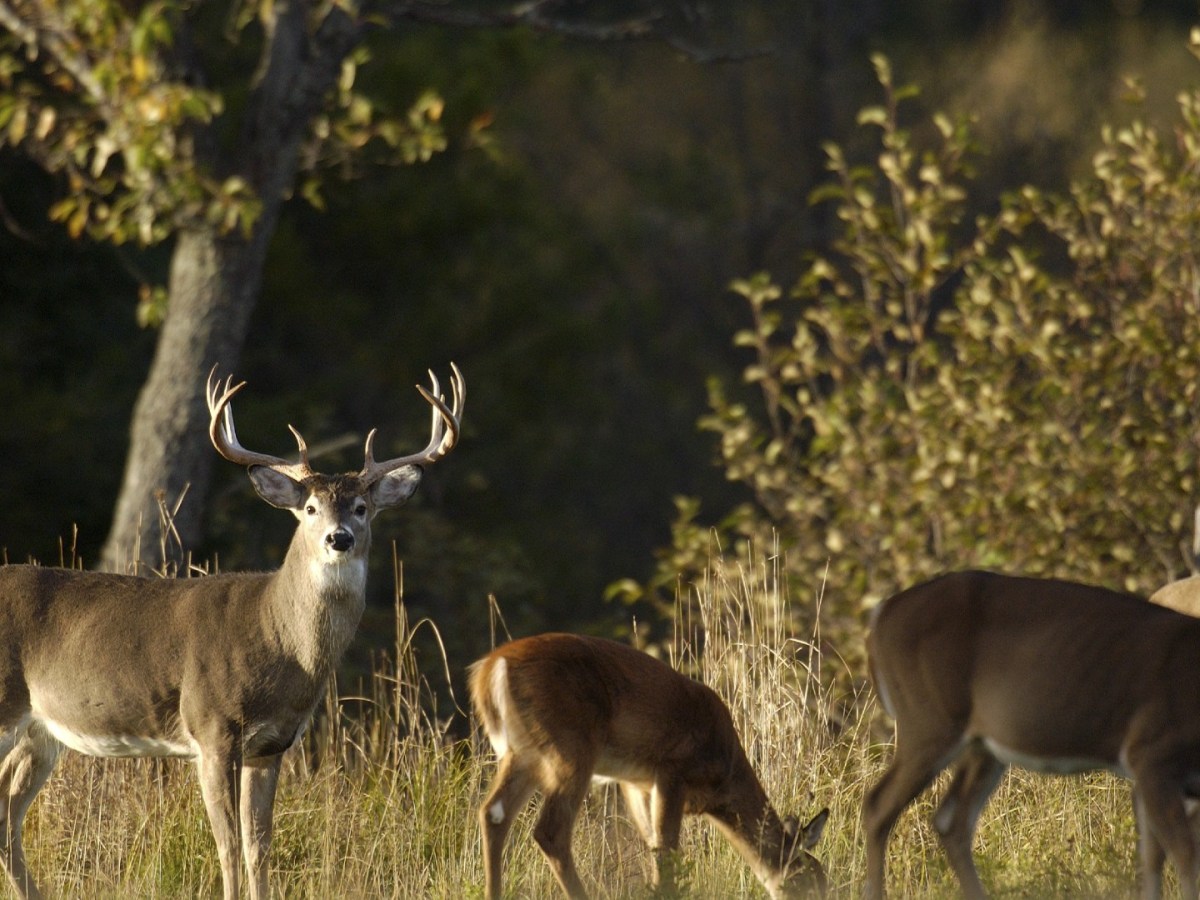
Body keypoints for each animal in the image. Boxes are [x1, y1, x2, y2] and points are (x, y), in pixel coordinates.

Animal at [0, 363, 464, 900]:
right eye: (309, 509)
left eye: (362, 507)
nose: (339, 538)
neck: (276, 637)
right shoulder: (212, 727)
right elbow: (227, 844)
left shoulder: (272, 743)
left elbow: (258, 845)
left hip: (40, 732)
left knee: (7, 815)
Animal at [468, 632, 829, 900]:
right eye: (809, 881)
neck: (724, 777)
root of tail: (491, 669)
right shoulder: (672, 769)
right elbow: (666, 856)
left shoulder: (636, 783)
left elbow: (655, 849)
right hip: (570, 747)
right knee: (550, 830)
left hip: (523, 754)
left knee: (493, 813)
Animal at [863, 569, 1200, 900]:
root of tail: (882, 614)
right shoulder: (1152, 753)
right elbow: (1185, 858)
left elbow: (1153, 859)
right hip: (930, 720)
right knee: (879, 806)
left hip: (981, 746)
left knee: (951, 822)